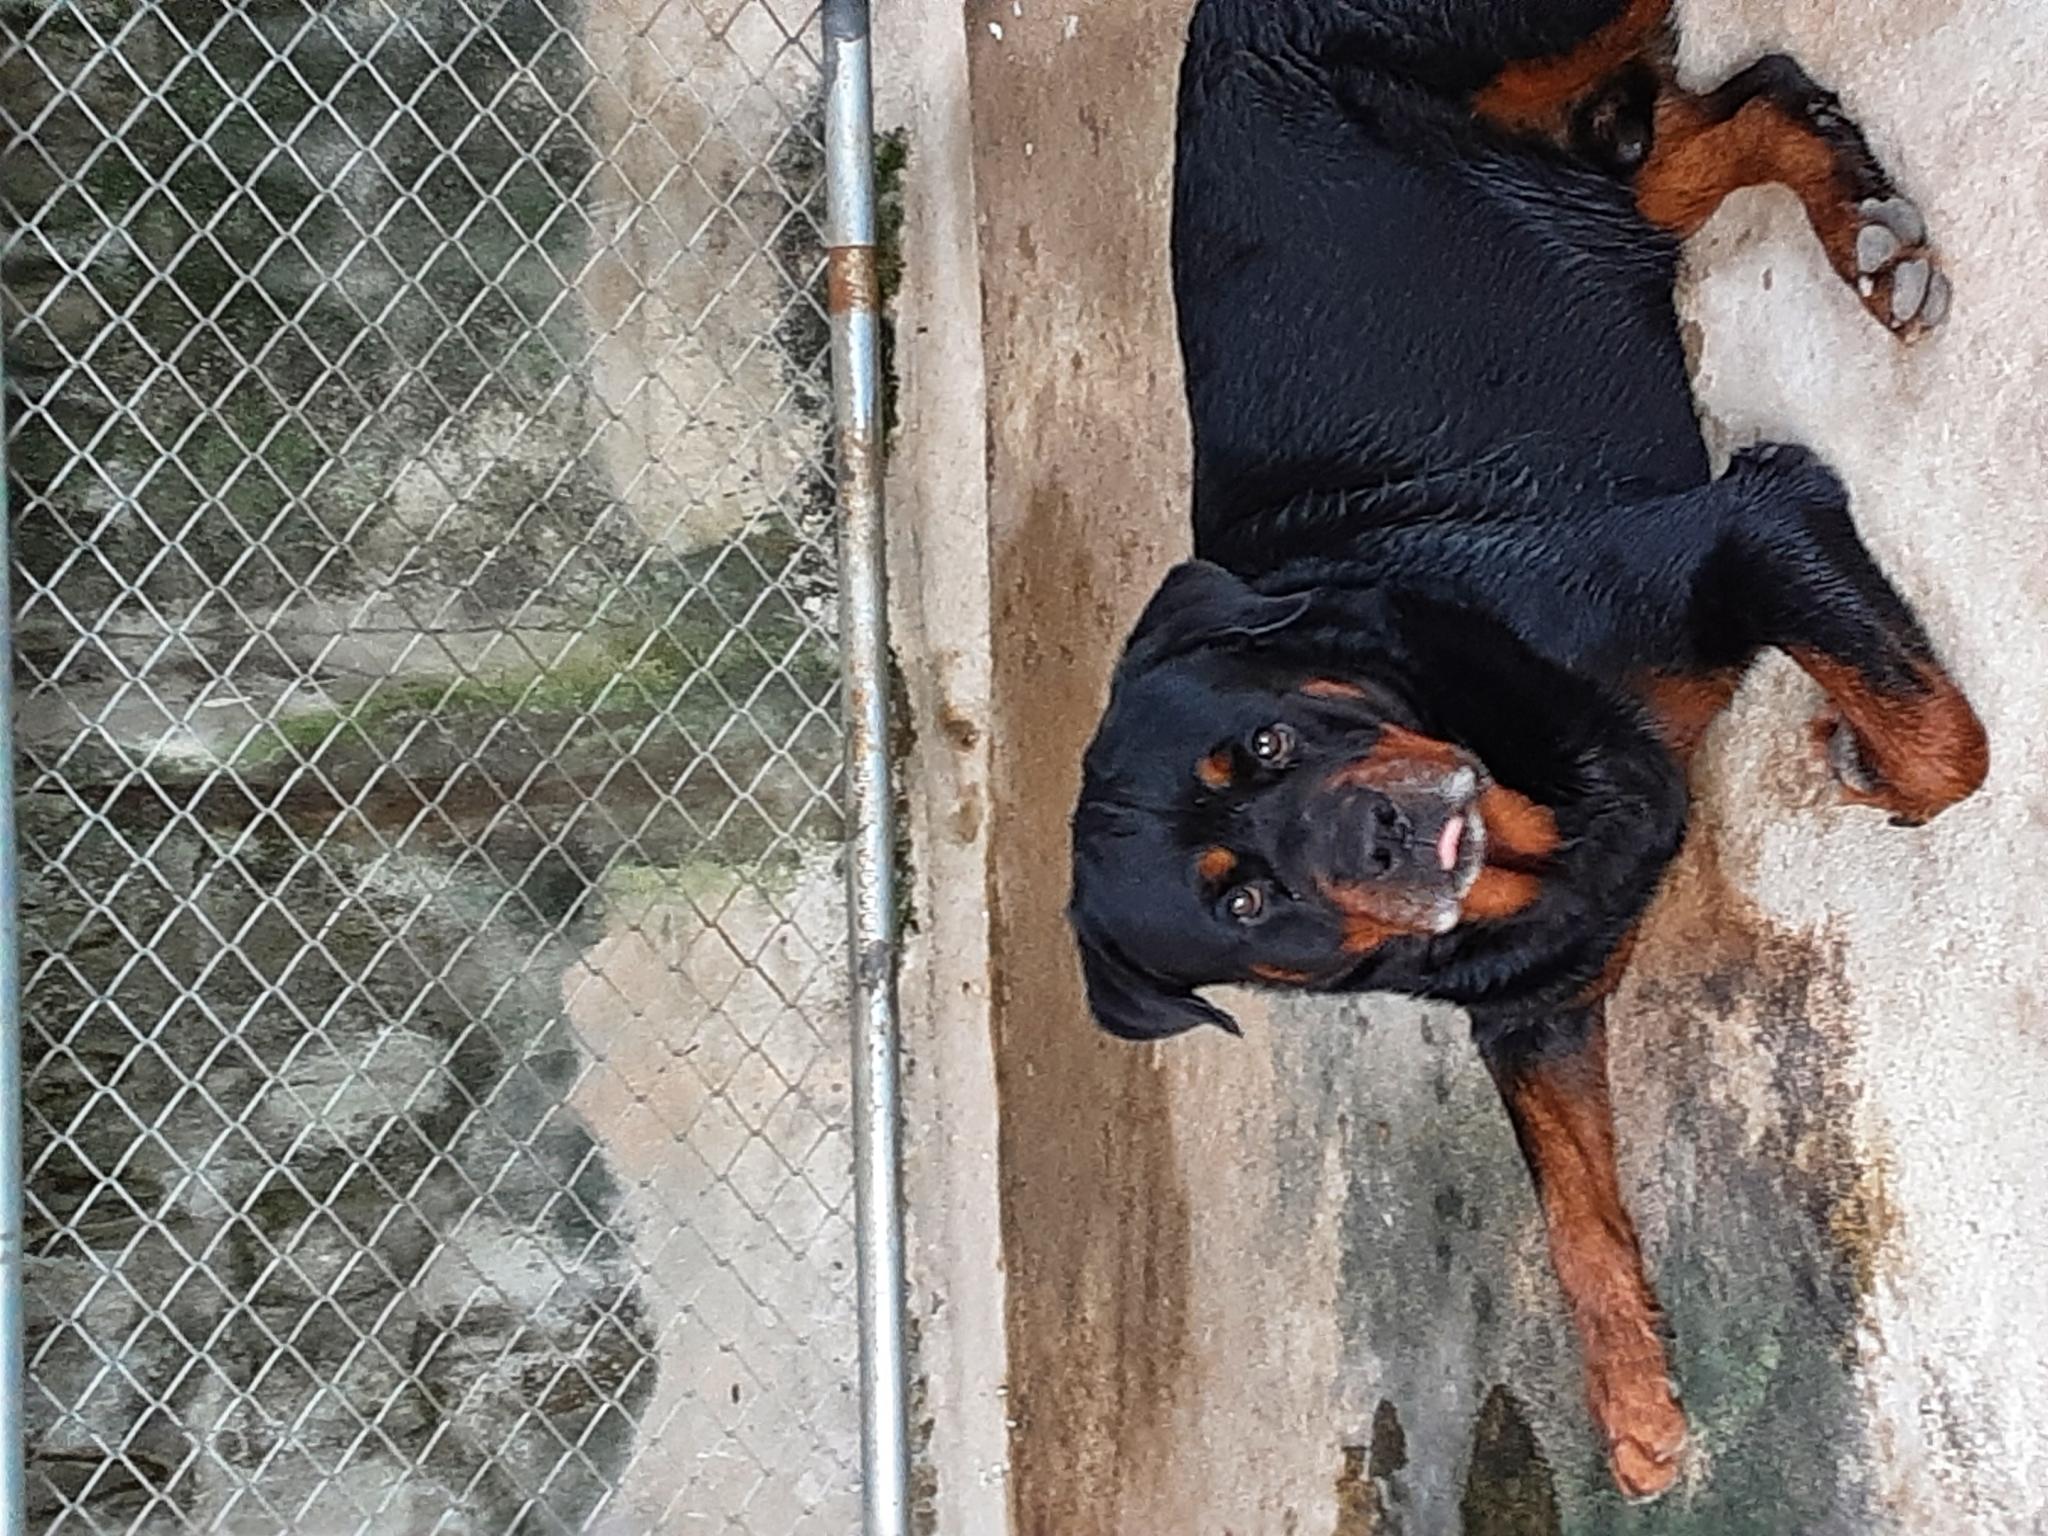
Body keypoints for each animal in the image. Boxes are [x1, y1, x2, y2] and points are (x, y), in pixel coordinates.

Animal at [1066, 0, 1989, 1501]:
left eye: (1266, 734)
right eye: (1243, 901)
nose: (1376, 834)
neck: (1523, 794)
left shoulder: (1747, 526)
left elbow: (1942, 747)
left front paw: (1866, 750)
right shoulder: (1535, 1004)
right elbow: (1565, 1197)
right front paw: (1632, 1405)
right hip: (1566, 191)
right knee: (1720, 120)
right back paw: (1864, 233)